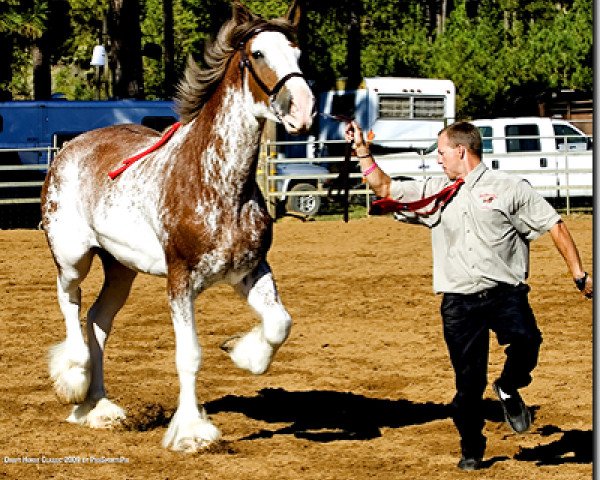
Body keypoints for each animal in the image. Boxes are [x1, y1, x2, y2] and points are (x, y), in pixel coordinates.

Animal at [41, 0, 314, 452]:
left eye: (298, 53)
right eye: (257, 54)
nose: (303, 109)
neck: (219, 184)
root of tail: (69, 147)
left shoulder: (250, 269)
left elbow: (279, 323)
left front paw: (244, 353)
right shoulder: (180, 279)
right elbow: (190, 355)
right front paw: (191, 432)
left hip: (121, 268)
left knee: (97, 321)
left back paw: (100, 408)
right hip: (73, 256)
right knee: (70, 304)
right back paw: (76, 384)